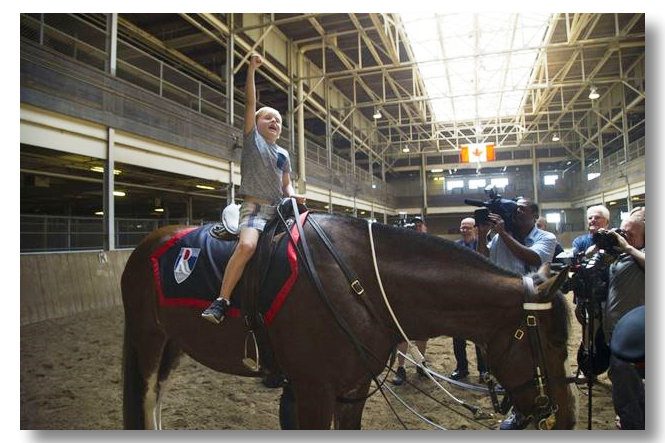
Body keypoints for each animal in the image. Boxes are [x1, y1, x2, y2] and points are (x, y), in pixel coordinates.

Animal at [122, 213, 580, 432]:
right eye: (555, 342)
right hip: (147, 338)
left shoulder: (352, 389)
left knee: (158, 394)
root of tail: (148, 241)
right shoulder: (312, 392)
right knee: (145, 396)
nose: (566, 417)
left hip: (174, 343)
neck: (358, 281)